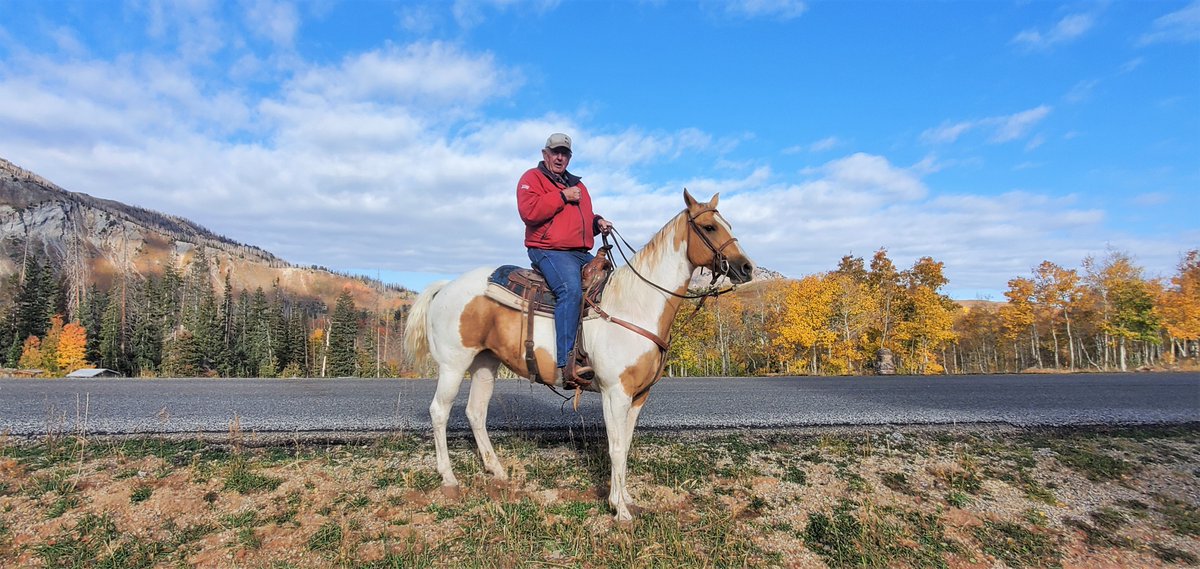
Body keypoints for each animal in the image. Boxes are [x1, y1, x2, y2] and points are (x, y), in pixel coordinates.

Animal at [403, 189, 755, 520]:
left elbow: (625, 445)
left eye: (728, 224)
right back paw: (449, 479)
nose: (746, 267)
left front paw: (625, 499)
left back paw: (498, 471)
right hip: (453, 364)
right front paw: (620, 511)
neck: (635, 305)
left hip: (485, 363)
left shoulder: (638, 396)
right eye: (709, 227)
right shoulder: (615, 393)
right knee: (439, 412)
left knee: (476, 412)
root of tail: (446, 285)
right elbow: (615, 448)